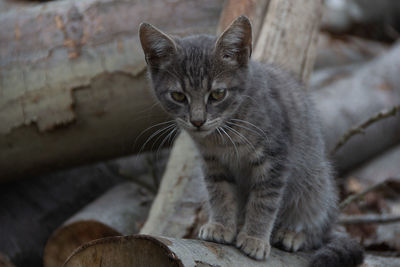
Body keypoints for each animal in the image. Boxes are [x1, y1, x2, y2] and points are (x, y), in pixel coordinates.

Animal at [139, 16, 364, 267]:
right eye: (178, 96)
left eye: (217, 94)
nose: (197, 121)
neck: (223, 135)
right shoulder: (213, 163)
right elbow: (220, 194)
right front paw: (222, 225)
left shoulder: (275, 158)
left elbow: (264, 201)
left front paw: (255, 238)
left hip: (316, 184)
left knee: (318, 230)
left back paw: (293, 234)